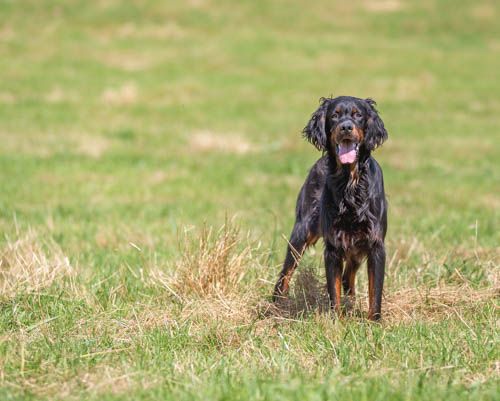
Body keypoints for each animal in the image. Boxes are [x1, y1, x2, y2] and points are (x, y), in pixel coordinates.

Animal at [273, 96, 388, 320]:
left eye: (358, 115)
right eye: (334, 115)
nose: (346, 127)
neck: (350, 183)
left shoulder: (375, 244)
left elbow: (375, 291)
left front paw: (374, 322)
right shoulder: (333, 247)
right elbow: (333, 291)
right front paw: (337, 321)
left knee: (348, 275)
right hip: (301, 232)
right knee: (285, 274)